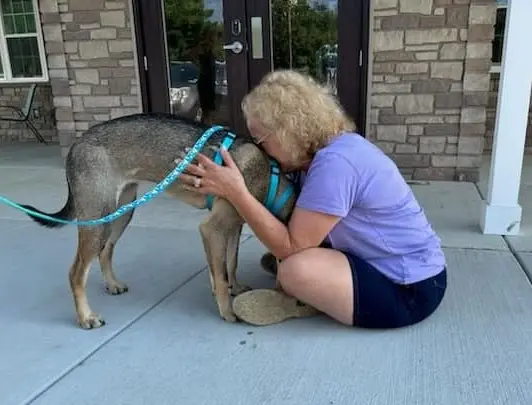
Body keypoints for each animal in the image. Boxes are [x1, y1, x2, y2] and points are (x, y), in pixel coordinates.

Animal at [21, 111, 296, 328]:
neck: (271, 178)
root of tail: (77, 143)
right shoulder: (213, 228)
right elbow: (220, 274)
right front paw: (227, 311)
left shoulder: (233, 227)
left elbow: (230, 263)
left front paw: (234, 289)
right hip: (98, 218)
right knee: (76, 273)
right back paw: (85, 317)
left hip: (122, 213)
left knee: (106, 251)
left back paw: (112, 284)